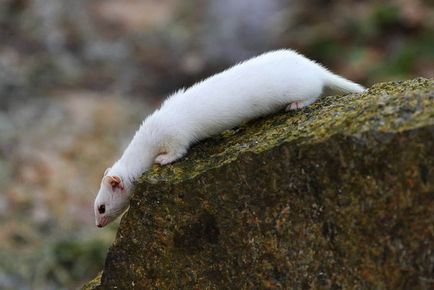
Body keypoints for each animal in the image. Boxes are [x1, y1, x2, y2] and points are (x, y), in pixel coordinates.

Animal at [93, 48, 364, 228]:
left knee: (313, 92)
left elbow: (177, 150)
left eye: (101, 207)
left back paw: (296, 104)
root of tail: (313, 66)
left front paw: (163, 160)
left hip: (302, 86)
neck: (150, 132)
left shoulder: (175, 135)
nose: (98, 224)